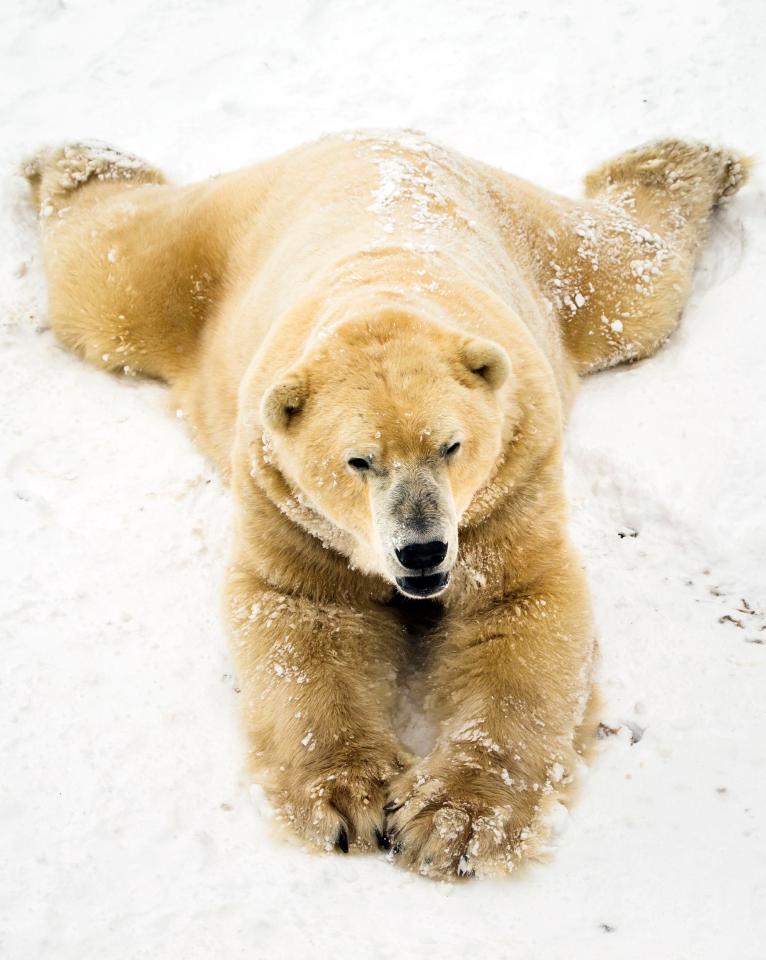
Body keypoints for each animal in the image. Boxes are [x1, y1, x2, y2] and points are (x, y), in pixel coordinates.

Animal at [25, 133, 752, 876]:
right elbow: (307, 615)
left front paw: (454, 821)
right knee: (110, 274)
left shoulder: (512, 474)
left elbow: (517, 608)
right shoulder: (284, 495)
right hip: (213, 243)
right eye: (359, 461)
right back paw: (75, 159)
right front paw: (350, 801)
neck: (384, 293)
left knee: (630, 276)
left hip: (537, 246)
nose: (422, 550)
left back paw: (692, 160)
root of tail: (381, 138)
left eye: (451, 445)